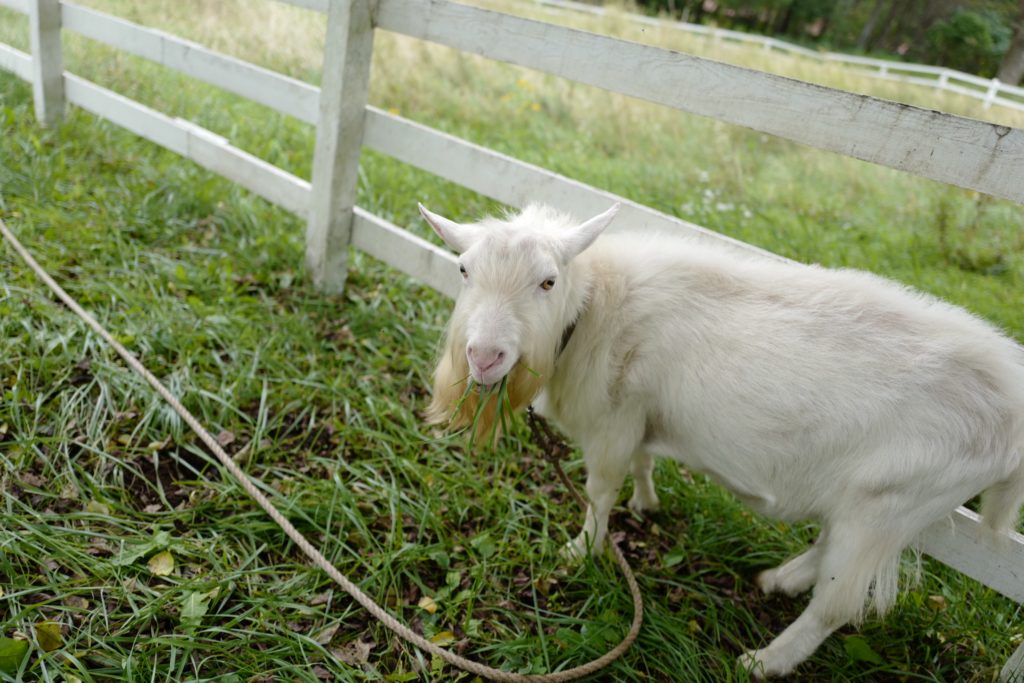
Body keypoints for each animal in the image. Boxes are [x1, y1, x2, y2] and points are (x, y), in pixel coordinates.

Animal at [419, 200, 1024, 675]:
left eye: (547, 281)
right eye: (464, 269)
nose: (484, 356)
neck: (597, 307)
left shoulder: (616, 418)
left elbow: (600, 488)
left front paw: (581, 550)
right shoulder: (642, 411)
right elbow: (642, 463)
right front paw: (646, 504)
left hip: (892, 501)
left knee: (838, 604)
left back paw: (765, 660)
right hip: (878, 502)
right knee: (828, 547)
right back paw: (778, 580)